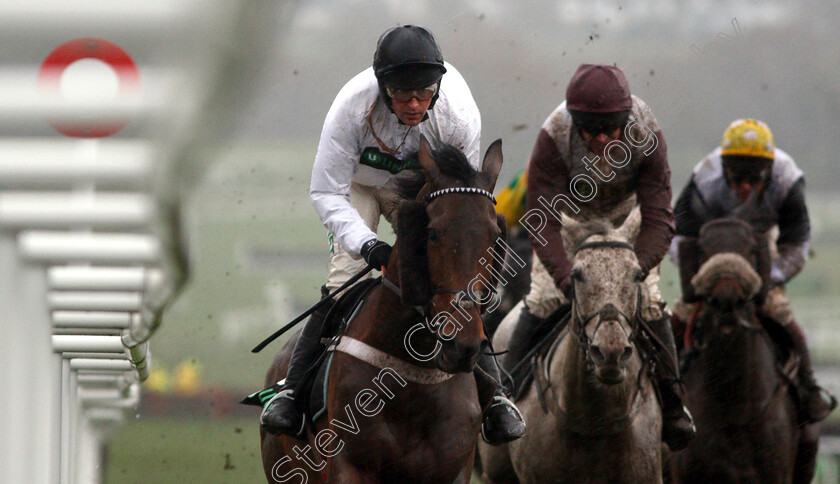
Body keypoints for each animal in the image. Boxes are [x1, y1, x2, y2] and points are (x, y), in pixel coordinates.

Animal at [260, 137, 502, 484]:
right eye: (432, 233)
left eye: (495, 235)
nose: (463, 344)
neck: (412, 384)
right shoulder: (349, 465)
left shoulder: (455, 469)